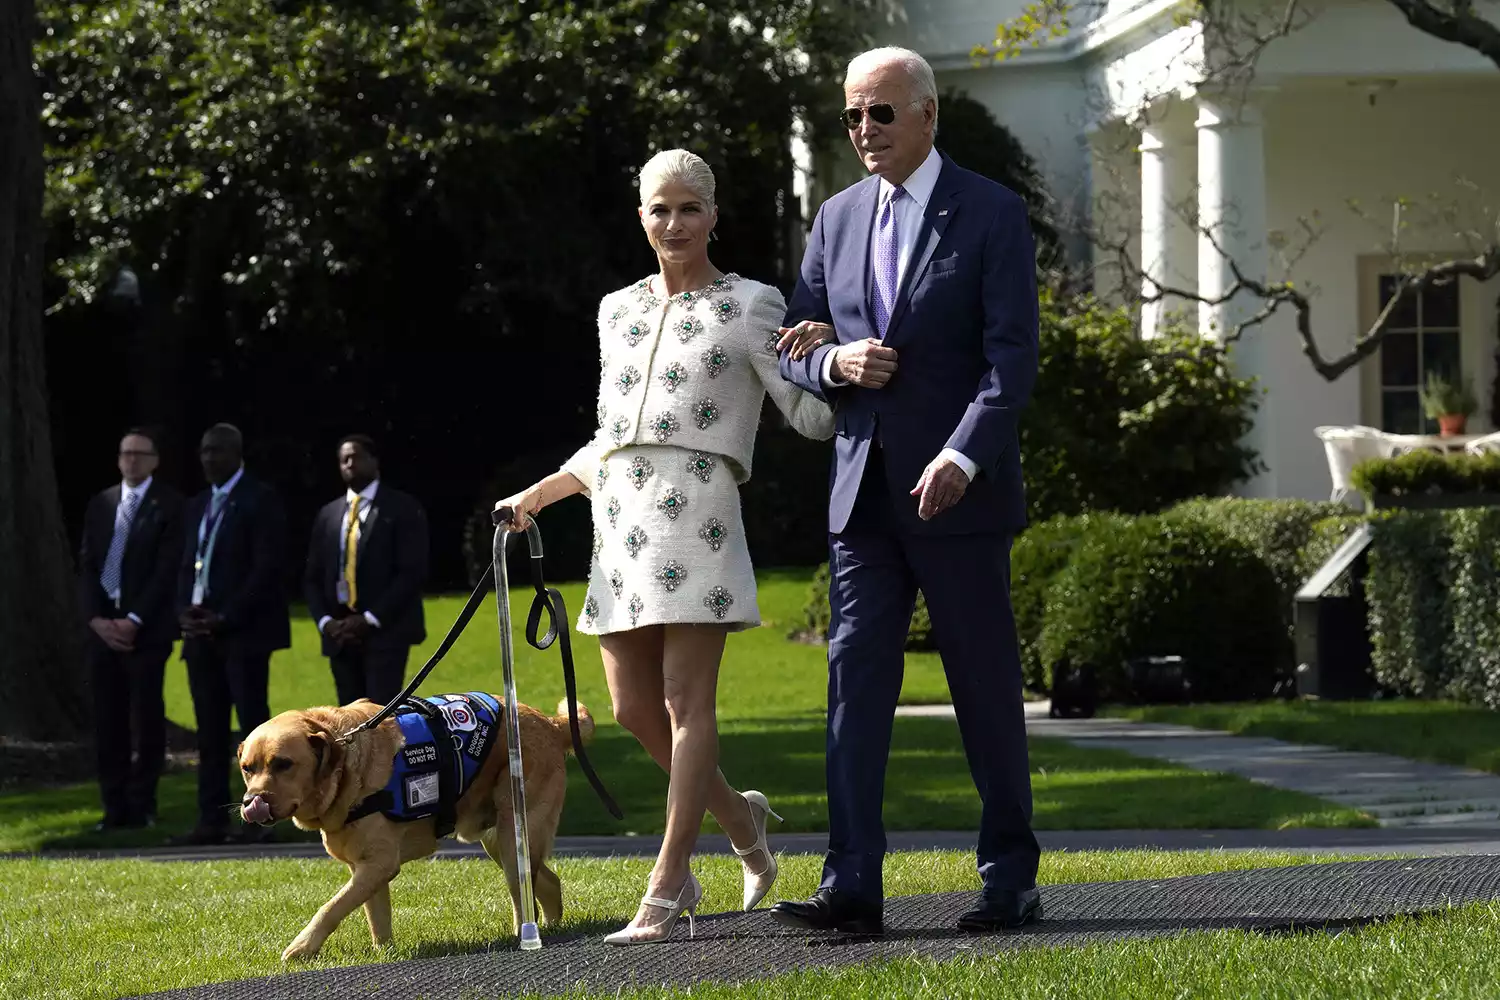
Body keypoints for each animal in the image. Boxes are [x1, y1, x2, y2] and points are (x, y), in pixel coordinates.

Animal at [235, 695, 585, 959]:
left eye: (283, 764)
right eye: (247, 768)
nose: (251, 801)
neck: (344, 770)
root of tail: (551, 724)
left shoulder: (379, 863)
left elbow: (331, 906)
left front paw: (302, 946)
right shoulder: (366, 868)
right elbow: (376, 916)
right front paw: (384, 953)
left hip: (514, 834)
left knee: (525, 897)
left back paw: (525, 935)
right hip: (501, 843)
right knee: (548, 882)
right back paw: (551, 926)